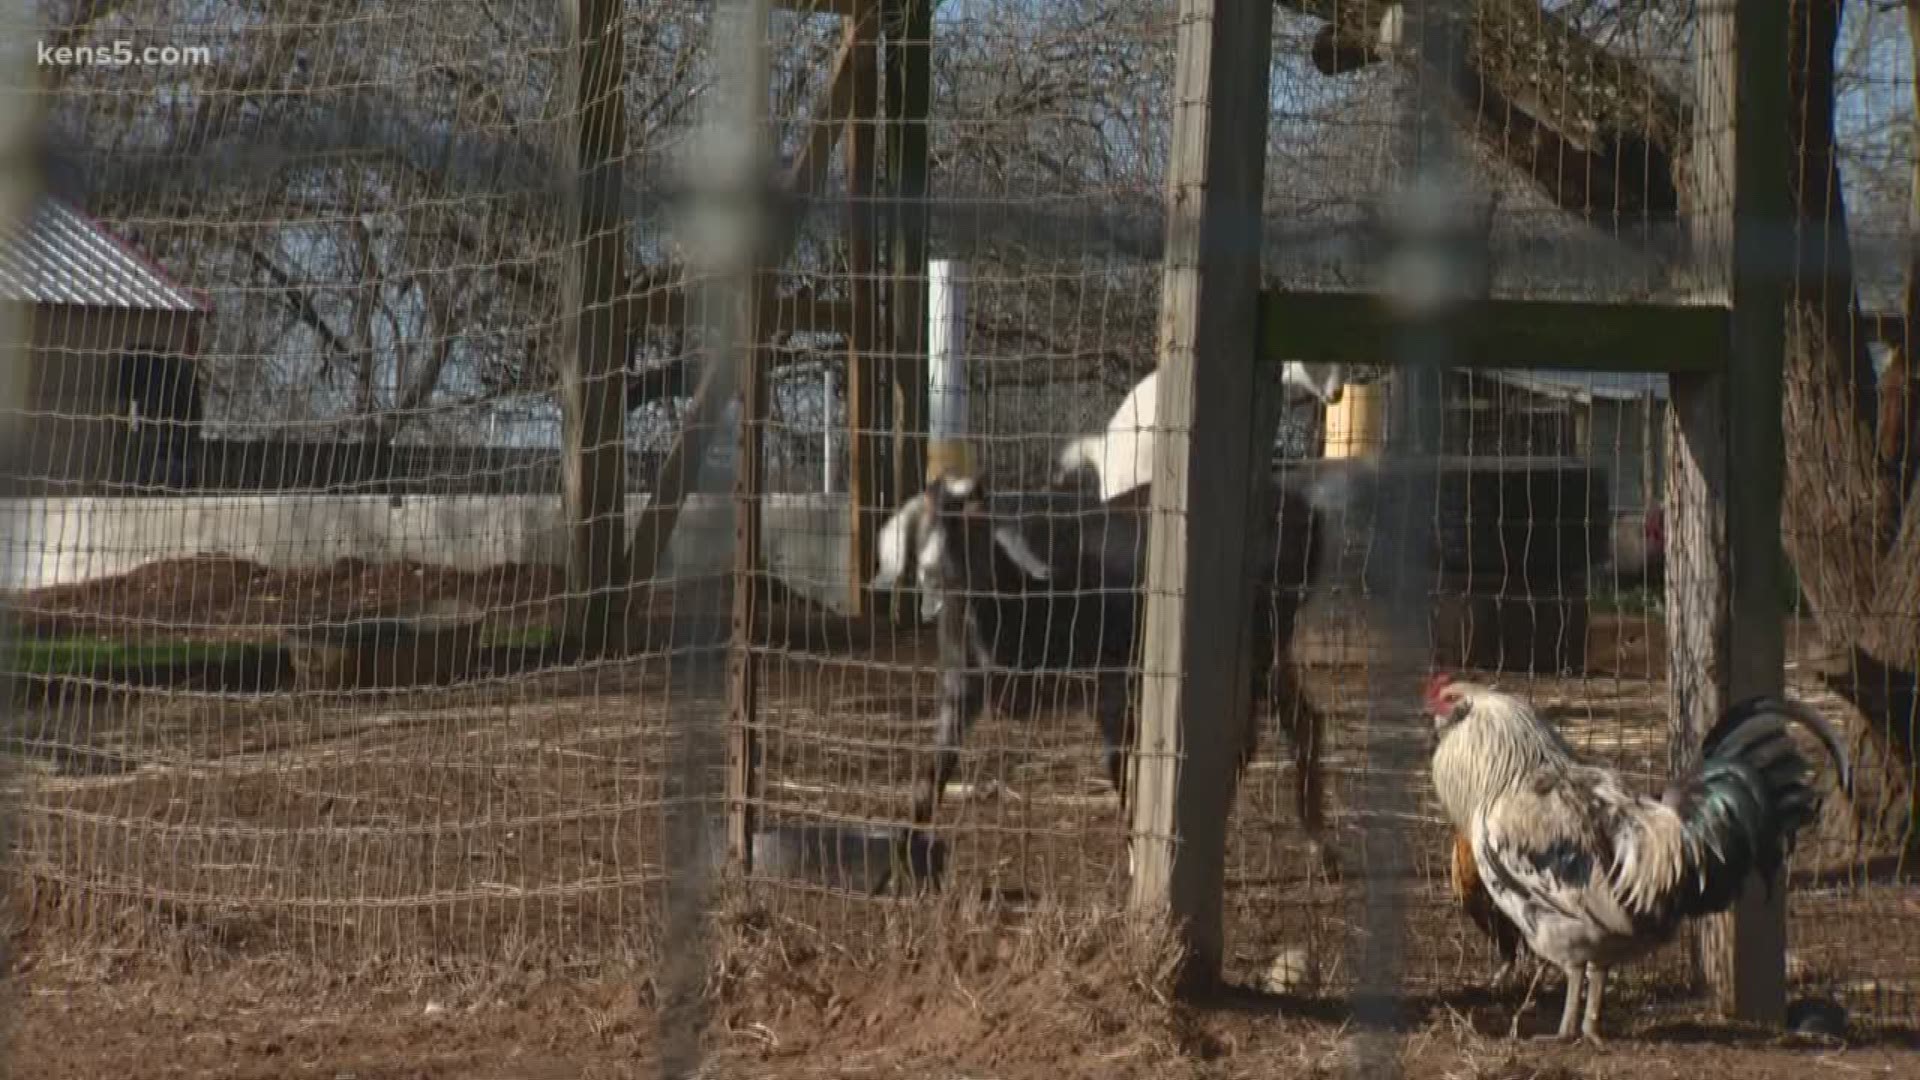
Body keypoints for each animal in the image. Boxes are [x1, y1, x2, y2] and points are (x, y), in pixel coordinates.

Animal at [879, 466, 1328, 868]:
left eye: (971, 526)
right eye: (924, 523)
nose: (932, 576)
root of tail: (1305, 513)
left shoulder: (1111, 687)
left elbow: (1120, 768)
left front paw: (1137, 853)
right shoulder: (961, 691)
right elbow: (931, 775)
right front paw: (907, 855)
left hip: (1255, 646)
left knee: (1249, 736)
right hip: (1266, 653)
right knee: (1303, 720)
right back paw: (1318, 846)